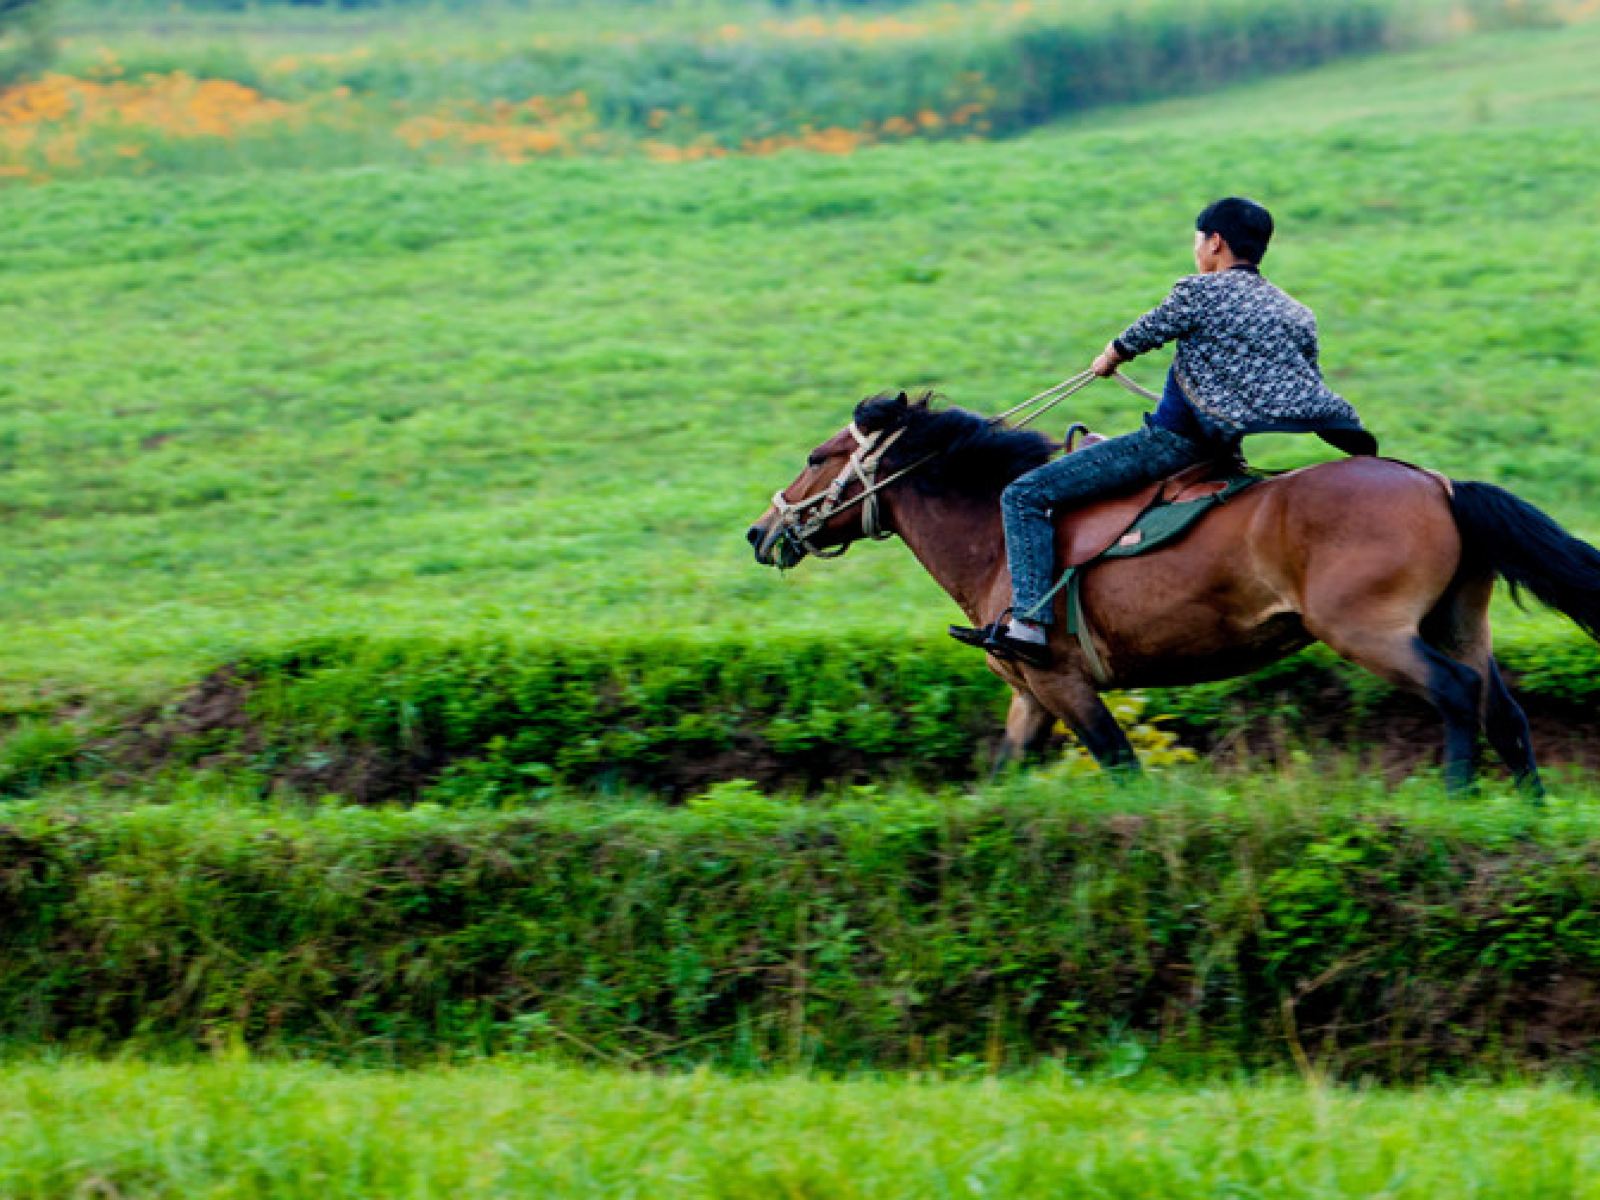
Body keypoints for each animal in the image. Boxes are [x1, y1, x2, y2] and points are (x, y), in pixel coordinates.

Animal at [748, 390, 1600, 793]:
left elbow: (1118, 761)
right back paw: (1529, 809)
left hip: (1373, 632)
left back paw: (1456, 795)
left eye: (818, 457)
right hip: (1458, 622)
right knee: (1505, 714)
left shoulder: (1063, 680)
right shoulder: (1030, 692)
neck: (996, 528)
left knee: (1456, 696)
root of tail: (1440, 485)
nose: (761, 532)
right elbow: (1003, 772)